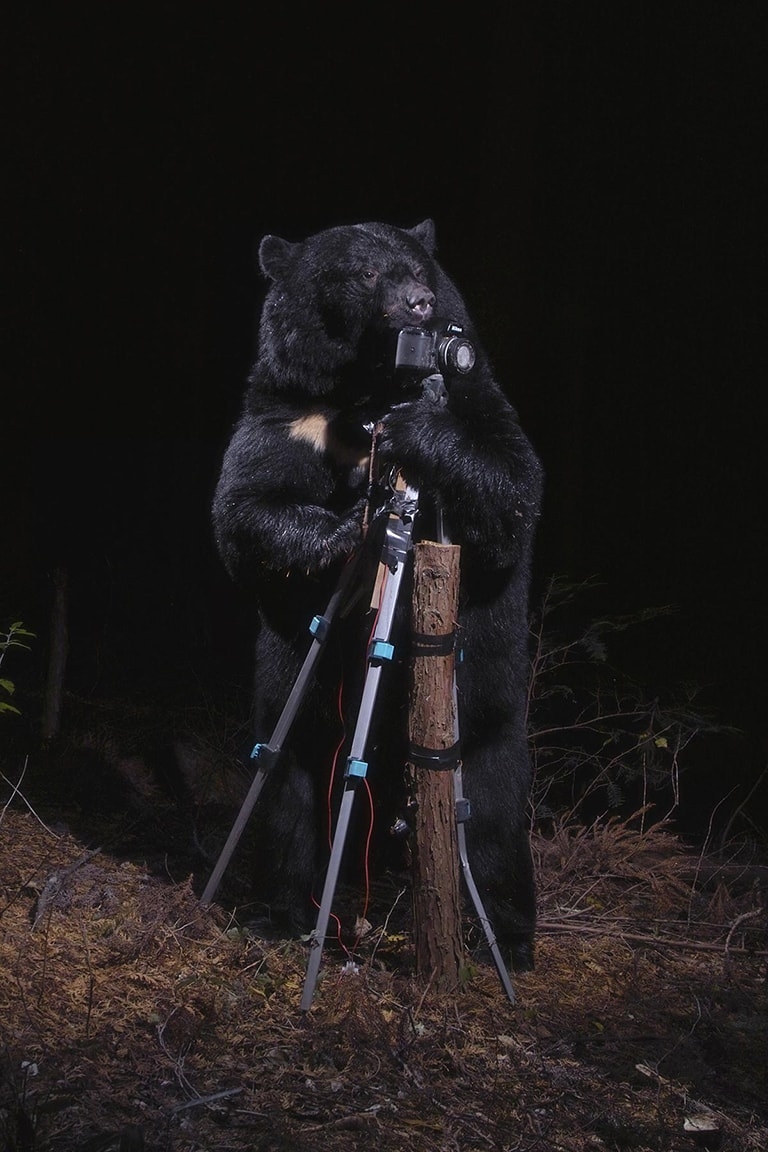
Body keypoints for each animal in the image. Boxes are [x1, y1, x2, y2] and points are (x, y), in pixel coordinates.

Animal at [213, 217, 543, 972]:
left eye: (419, 268)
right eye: (366, 274)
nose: (420, 304)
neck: (366, 392)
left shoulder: (477, 392)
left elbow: (511, 487)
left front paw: (426, 437)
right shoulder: (290, 409)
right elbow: (246, 507)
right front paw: (341, 533)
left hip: (489, 713)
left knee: (493, 815)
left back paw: (506, 939)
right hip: (301, 712)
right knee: (290, 794)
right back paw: (284, 913)